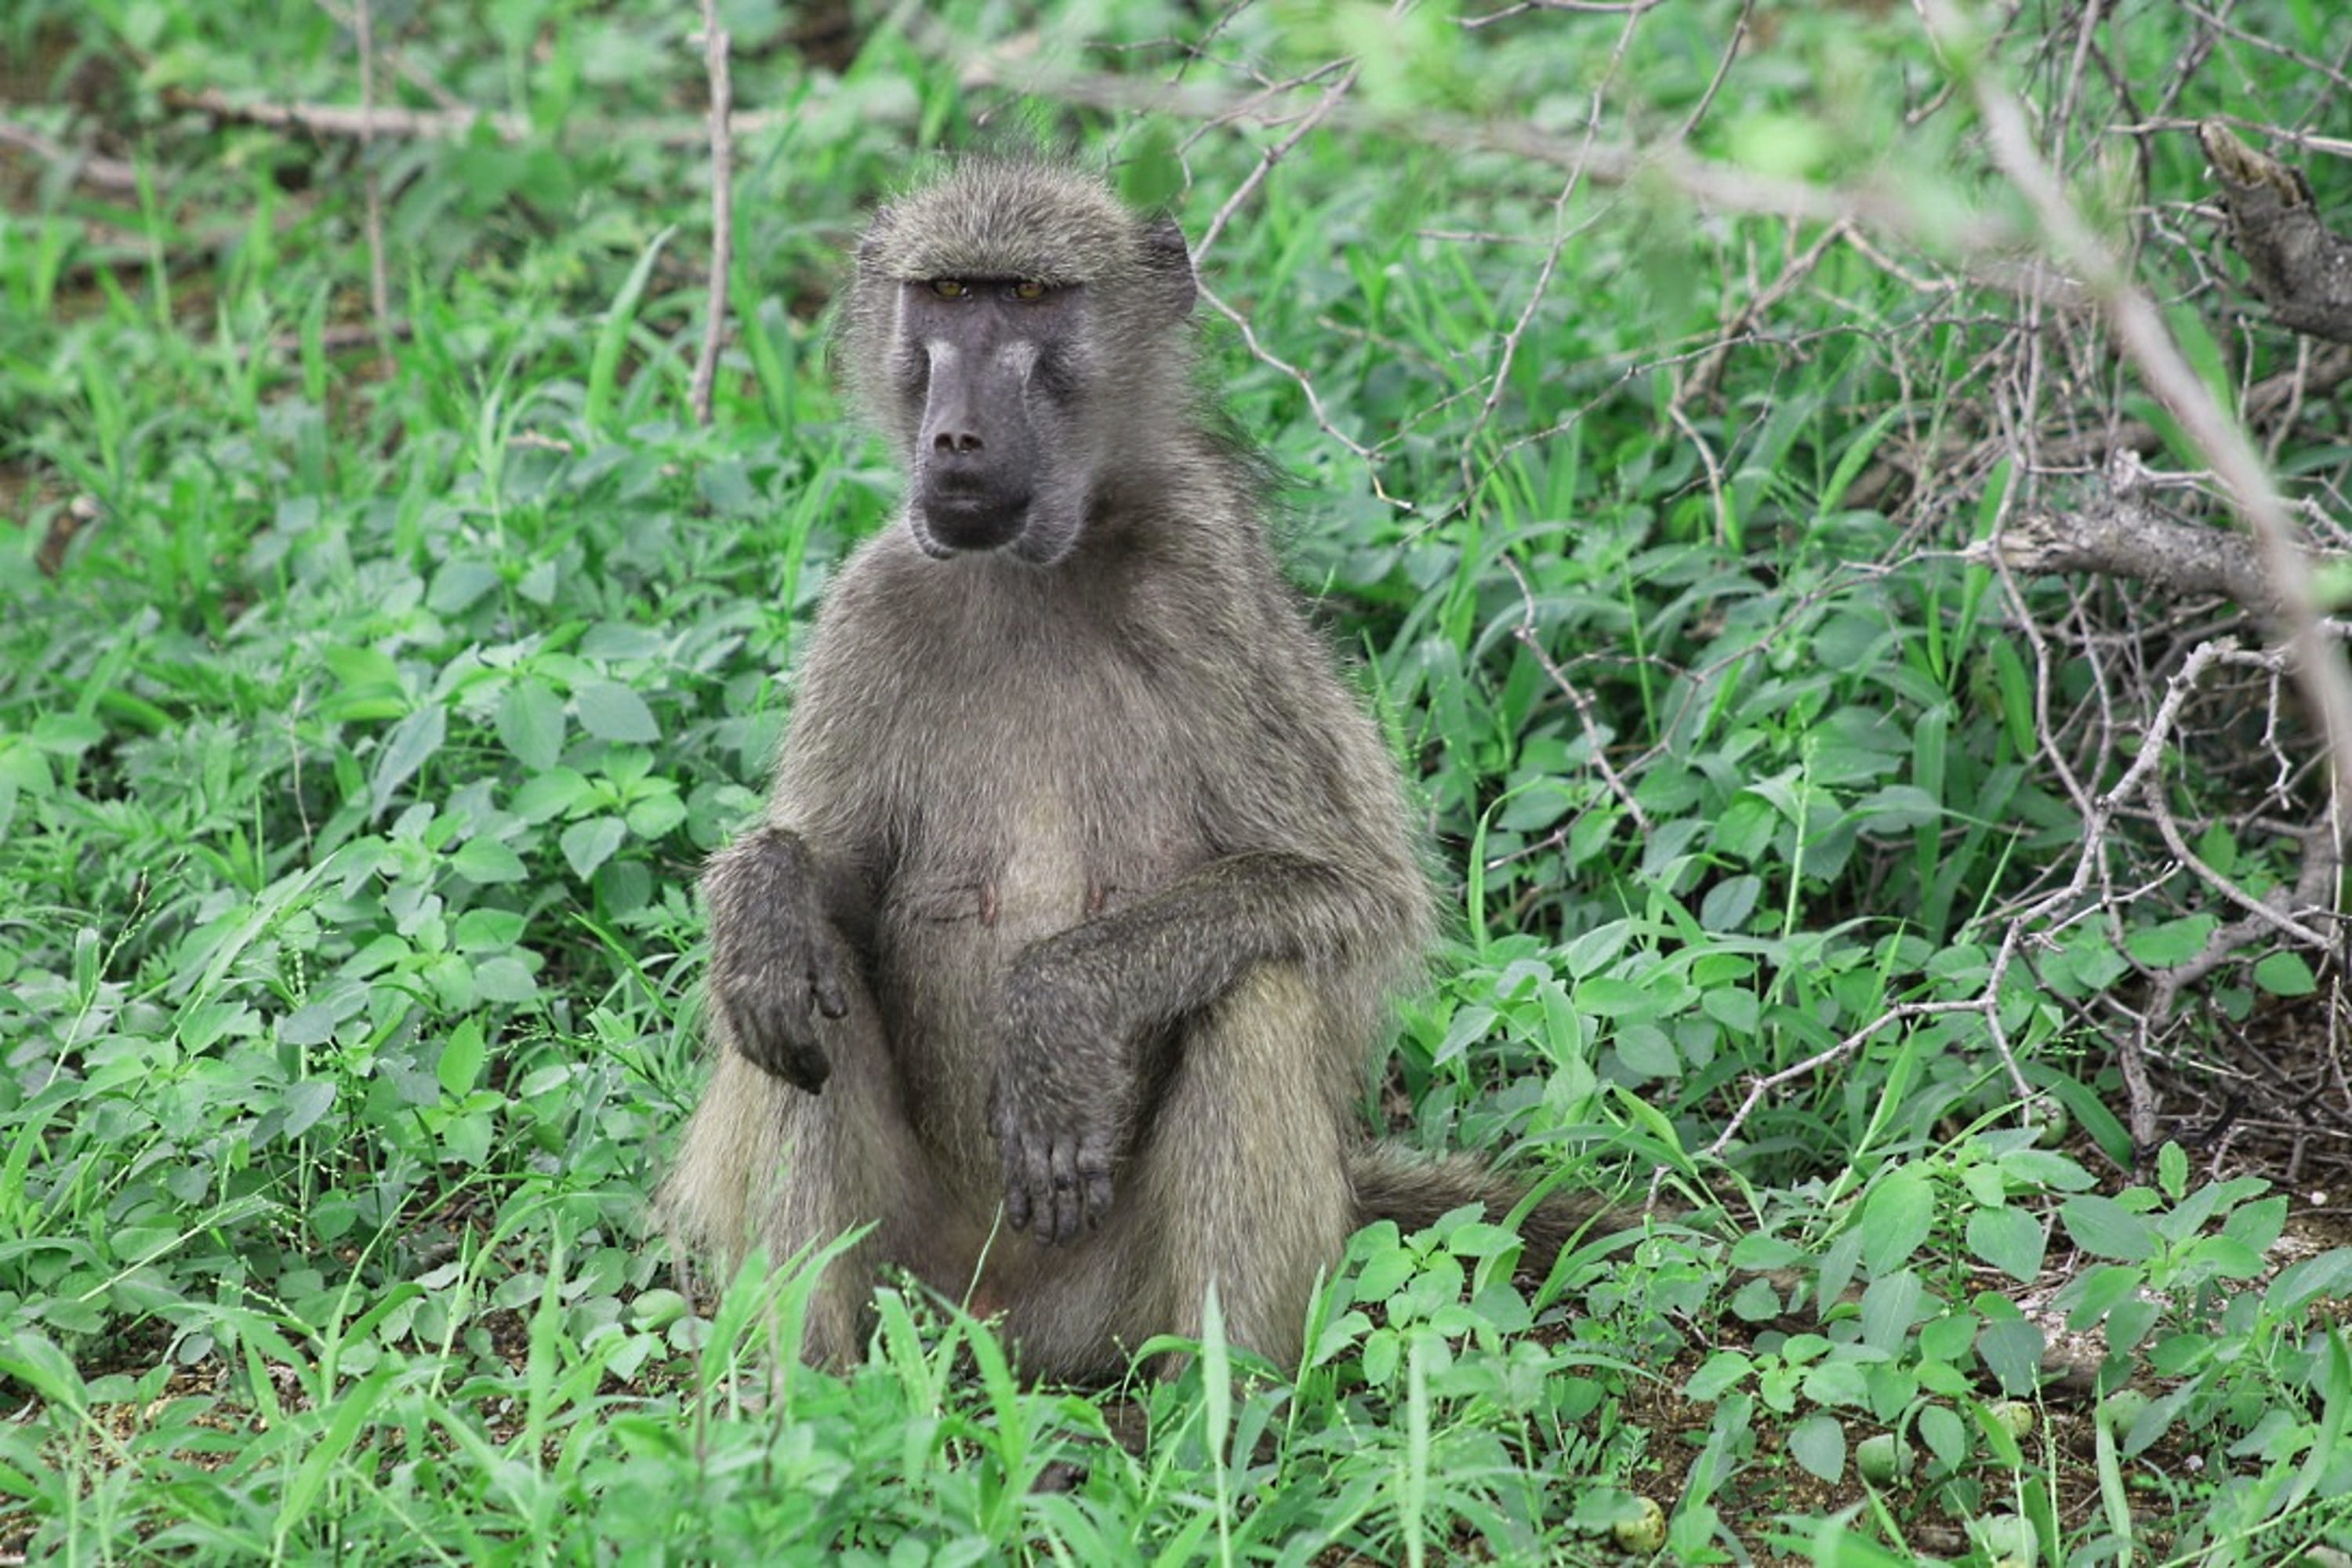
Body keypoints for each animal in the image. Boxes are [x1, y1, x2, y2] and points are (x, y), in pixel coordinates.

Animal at [658, 156, 1625, 1383]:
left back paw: (1225, 1408)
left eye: (1028, 298)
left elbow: (1354, 890)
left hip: (1114, 1293)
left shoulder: (1206, 577)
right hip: (912, 1278)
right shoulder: (867, 607)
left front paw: (1058, 1008)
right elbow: (826, 882)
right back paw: (808, 1401)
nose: (956, 439)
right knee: (789, 1002)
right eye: (945, 295)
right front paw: (763, 888)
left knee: (1257, 986)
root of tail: (1004, 1325)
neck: (1040, 567)